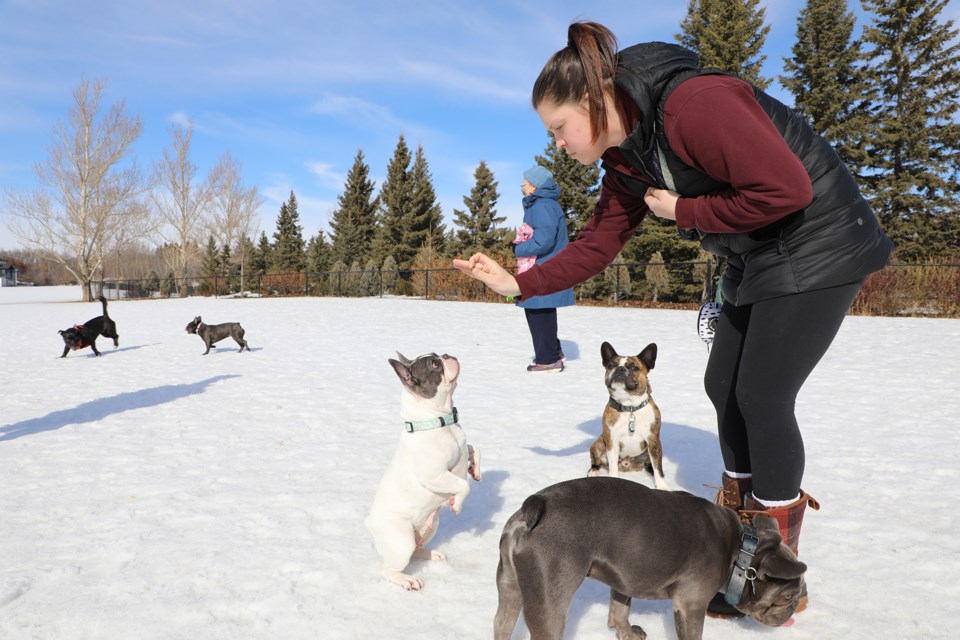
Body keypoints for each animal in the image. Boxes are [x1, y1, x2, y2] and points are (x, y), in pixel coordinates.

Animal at [364, 350, 480, 592]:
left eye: (438, 356)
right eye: (435, 364)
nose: (447, 355)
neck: (438, 421)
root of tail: (370, 522)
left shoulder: (462, 449)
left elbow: (475, 449)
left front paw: (476, 469)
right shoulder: (434, 475)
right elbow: (462, 485)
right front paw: (456, 504)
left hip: (430, 526)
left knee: (417, 550)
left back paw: (432, 554)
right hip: (401, 539)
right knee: (389, 569)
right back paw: (407, 580)